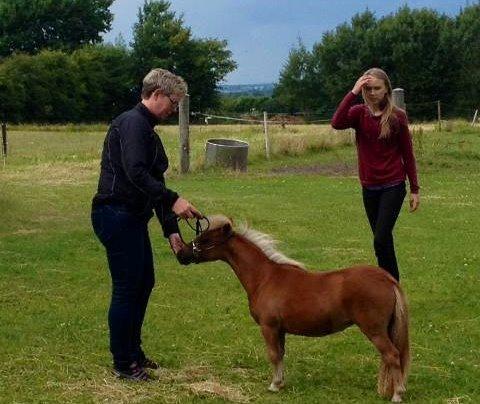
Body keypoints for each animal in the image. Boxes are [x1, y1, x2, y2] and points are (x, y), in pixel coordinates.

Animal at [178, 215, 410, 400]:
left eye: (205, 240)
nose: (181, 253)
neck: (265, 278)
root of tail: (386, 278)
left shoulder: (269, 327)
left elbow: (273, 354)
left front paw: (273, 385)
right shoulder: (280, 330)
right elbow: (280, 354)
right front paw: (280, 382)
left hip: (374, 330)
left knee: (392, 355)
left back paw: (397, 394)